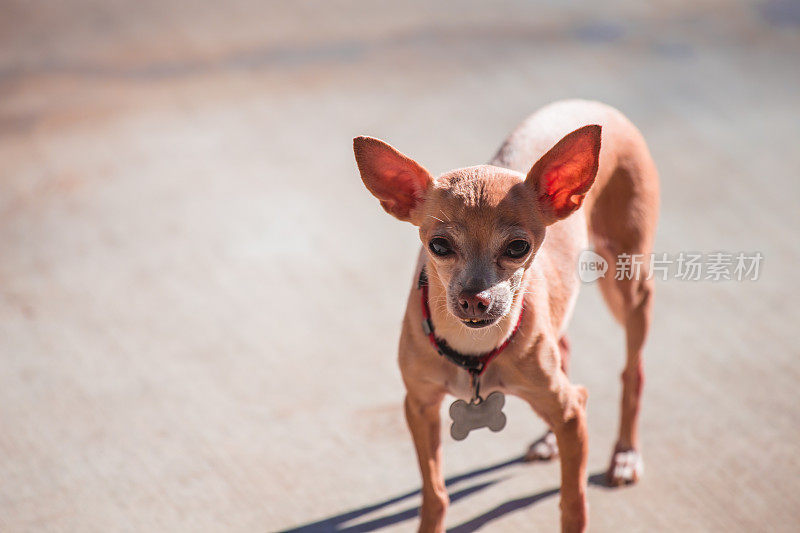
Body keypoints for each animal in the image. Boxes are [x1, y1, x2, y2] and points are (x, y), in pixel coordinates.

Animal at [354, 101, 660, 532]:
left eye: (518, 247)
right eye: (439, 245)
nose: (474, 299)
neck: (474, 351)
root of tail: (593, 104)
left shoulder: (572, 412)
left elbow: (572, 501)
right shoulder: (420, 406)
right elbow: (435, 494)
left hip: (626, 283)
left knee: (633, 371)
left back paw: (626, 454)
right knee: (566, 347)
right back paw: (549, 438)